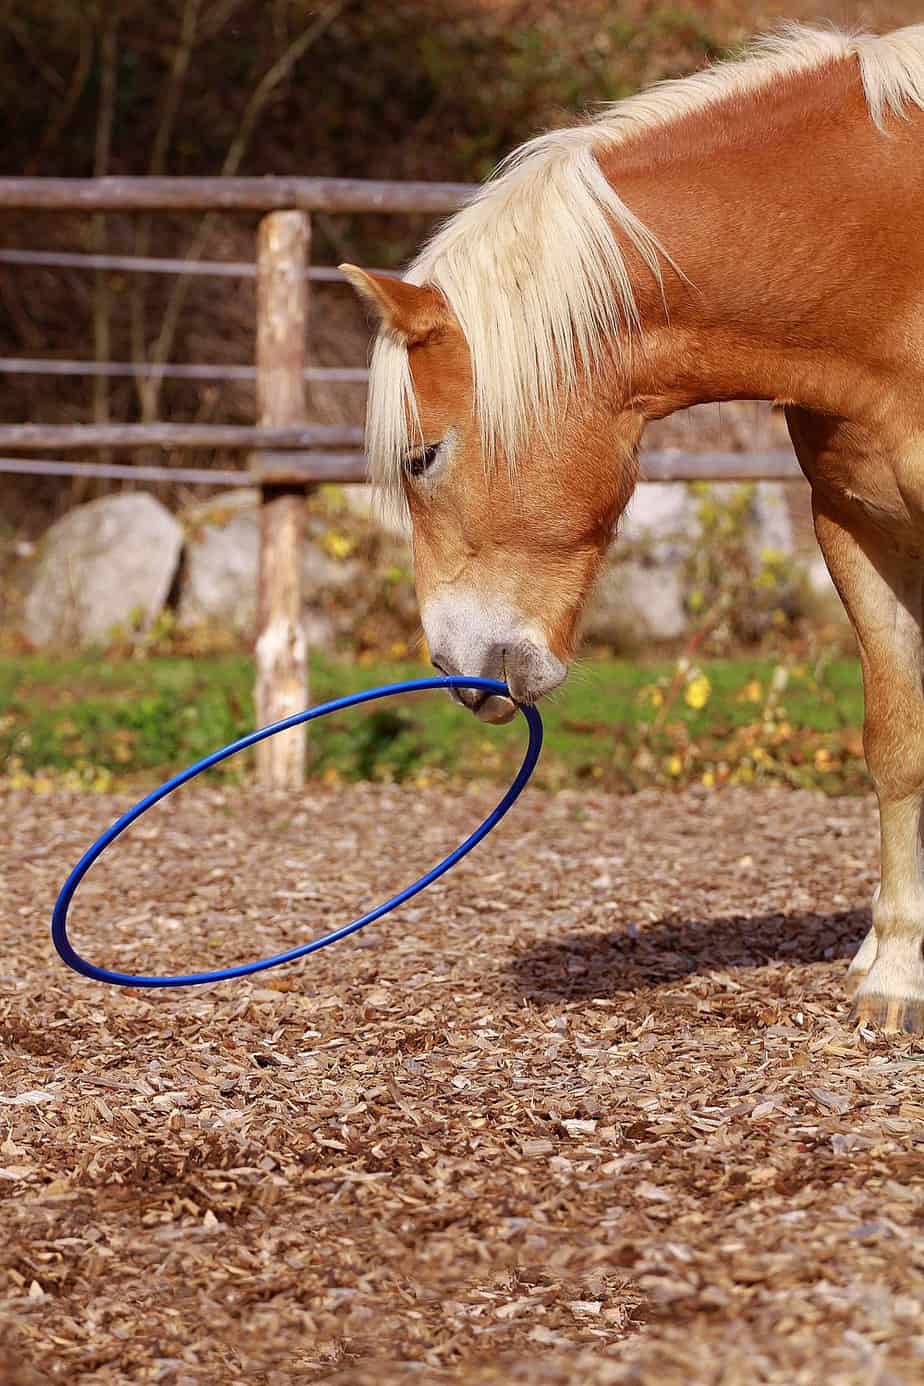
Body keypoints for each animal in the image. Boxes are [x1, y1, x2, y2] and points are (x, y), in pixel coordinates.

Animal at [341, 23, 924, 1034]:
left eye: (422, 457)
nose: (459, 668)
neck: (894, 263)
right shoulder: (861, 531)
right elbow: (897, 745)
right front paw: (894, 970)